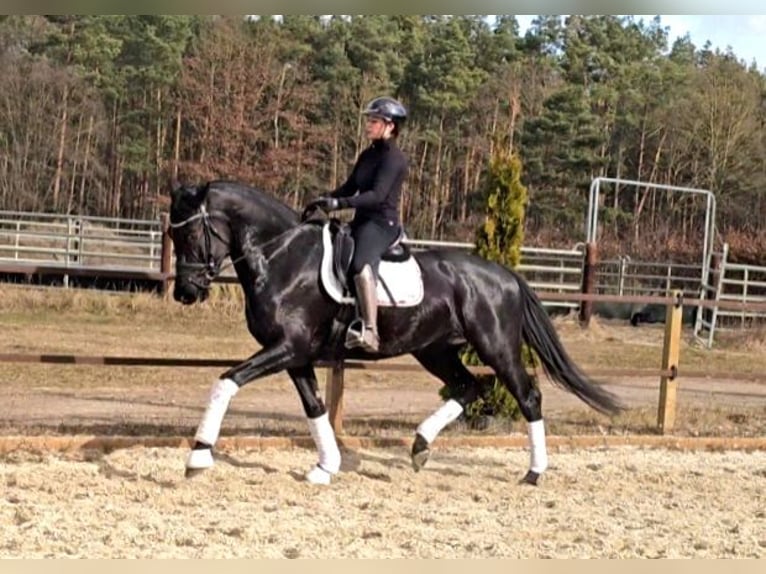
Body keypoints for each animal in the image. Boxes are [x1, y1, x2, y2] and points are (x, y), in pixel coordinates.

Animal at [168, 182, 624, 488]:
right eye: (171, 234)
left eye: (189, 233)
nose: (185, 293)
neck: (284, 257)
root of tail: (505, 275)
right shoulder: (295, 354)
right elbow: (315, 407)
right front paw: (326, 467)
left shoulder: (287, 347)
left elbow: (226, 382)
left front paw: (198, 457)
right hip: (436, 351)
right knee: (467, 387)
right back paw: (420, 447)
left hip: (496, 346)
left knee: (527, 396)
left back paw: (532, 473)